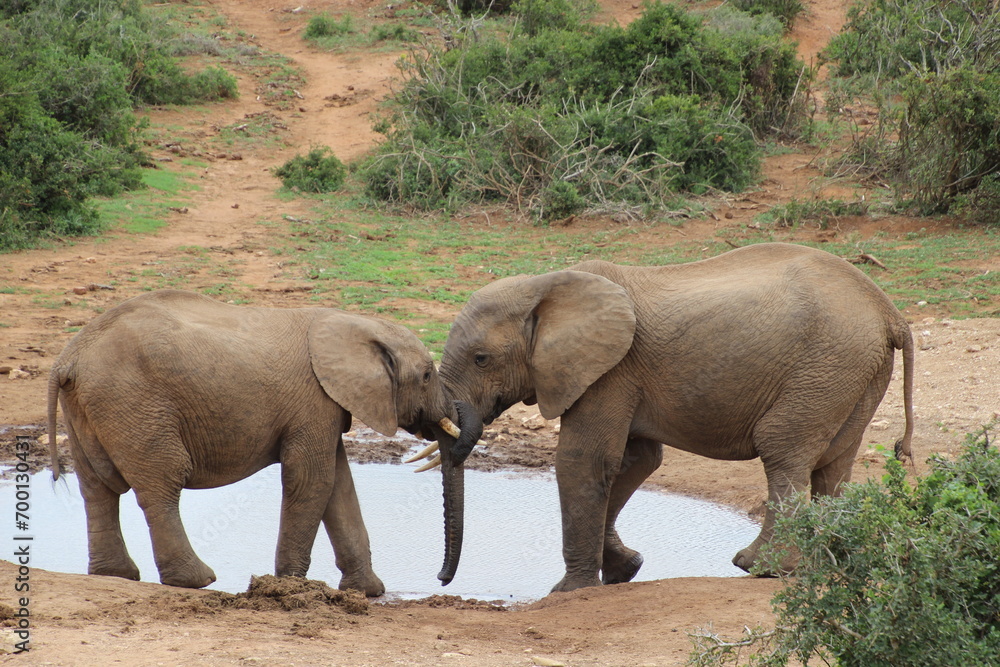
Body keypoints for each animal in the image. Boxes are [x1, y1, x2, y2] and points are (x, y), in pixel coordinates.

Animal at [47, 289, 480, 593]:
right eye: (427, 375)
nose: (439, 578)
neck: (356, 324)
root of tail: (68, 358)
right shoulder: (314, 399)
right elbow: (314, 480)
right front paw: (291, 586)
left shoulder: (325, 405)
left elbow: (338, 486)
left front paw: (369, 592)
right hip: (133, 402)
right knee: (161, 482)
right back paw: (197, 580)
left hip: (92, 406)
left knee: (97, 488)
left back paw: (116, 575)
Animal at [413, 242, 914, 592]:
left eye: (481, 359)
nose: (440, 579)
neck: (545, 286)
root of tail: (889, 309)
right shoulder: (620, 375)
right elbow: (637, 460)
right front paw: (623, 570)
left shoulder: (611, 370)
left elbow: (584, 460)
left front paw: (567, 591)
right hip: (855, 370)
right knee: (833, 464)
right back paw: (830, 562)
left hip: (827, 365)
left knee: (783, 452)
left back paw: (761, 567)